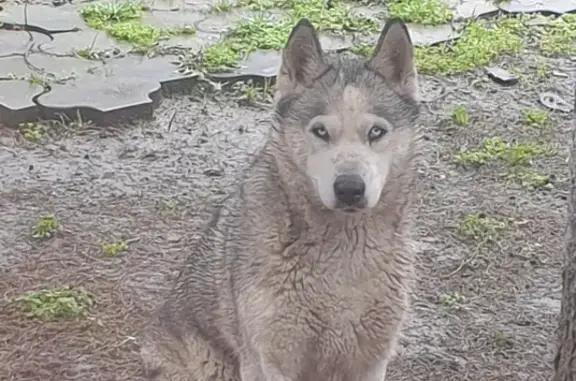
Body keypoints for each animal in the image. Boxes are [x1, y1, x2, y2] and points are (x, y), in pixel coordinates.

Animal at [138, 16, 418, 380]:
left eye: (376, 132)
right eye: (320, 131)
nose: (349, 188)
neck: (341, 249)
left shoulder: (372, 359)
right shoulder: (272, 358)